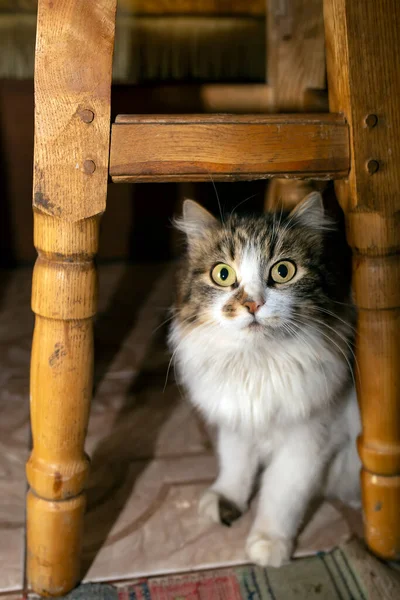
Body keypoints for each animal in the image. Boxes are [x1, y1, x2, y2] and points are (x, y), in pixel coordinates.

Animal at [167, 192, 360, 568]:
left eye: (283, 271)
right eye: (223, 274)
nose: (253, 304)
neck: (258, 363)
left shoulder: (309, 438)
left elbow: (281, 492)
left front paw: (269, 544)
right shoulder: (236, 419)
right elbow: (235, 464)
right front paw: (227, 501)